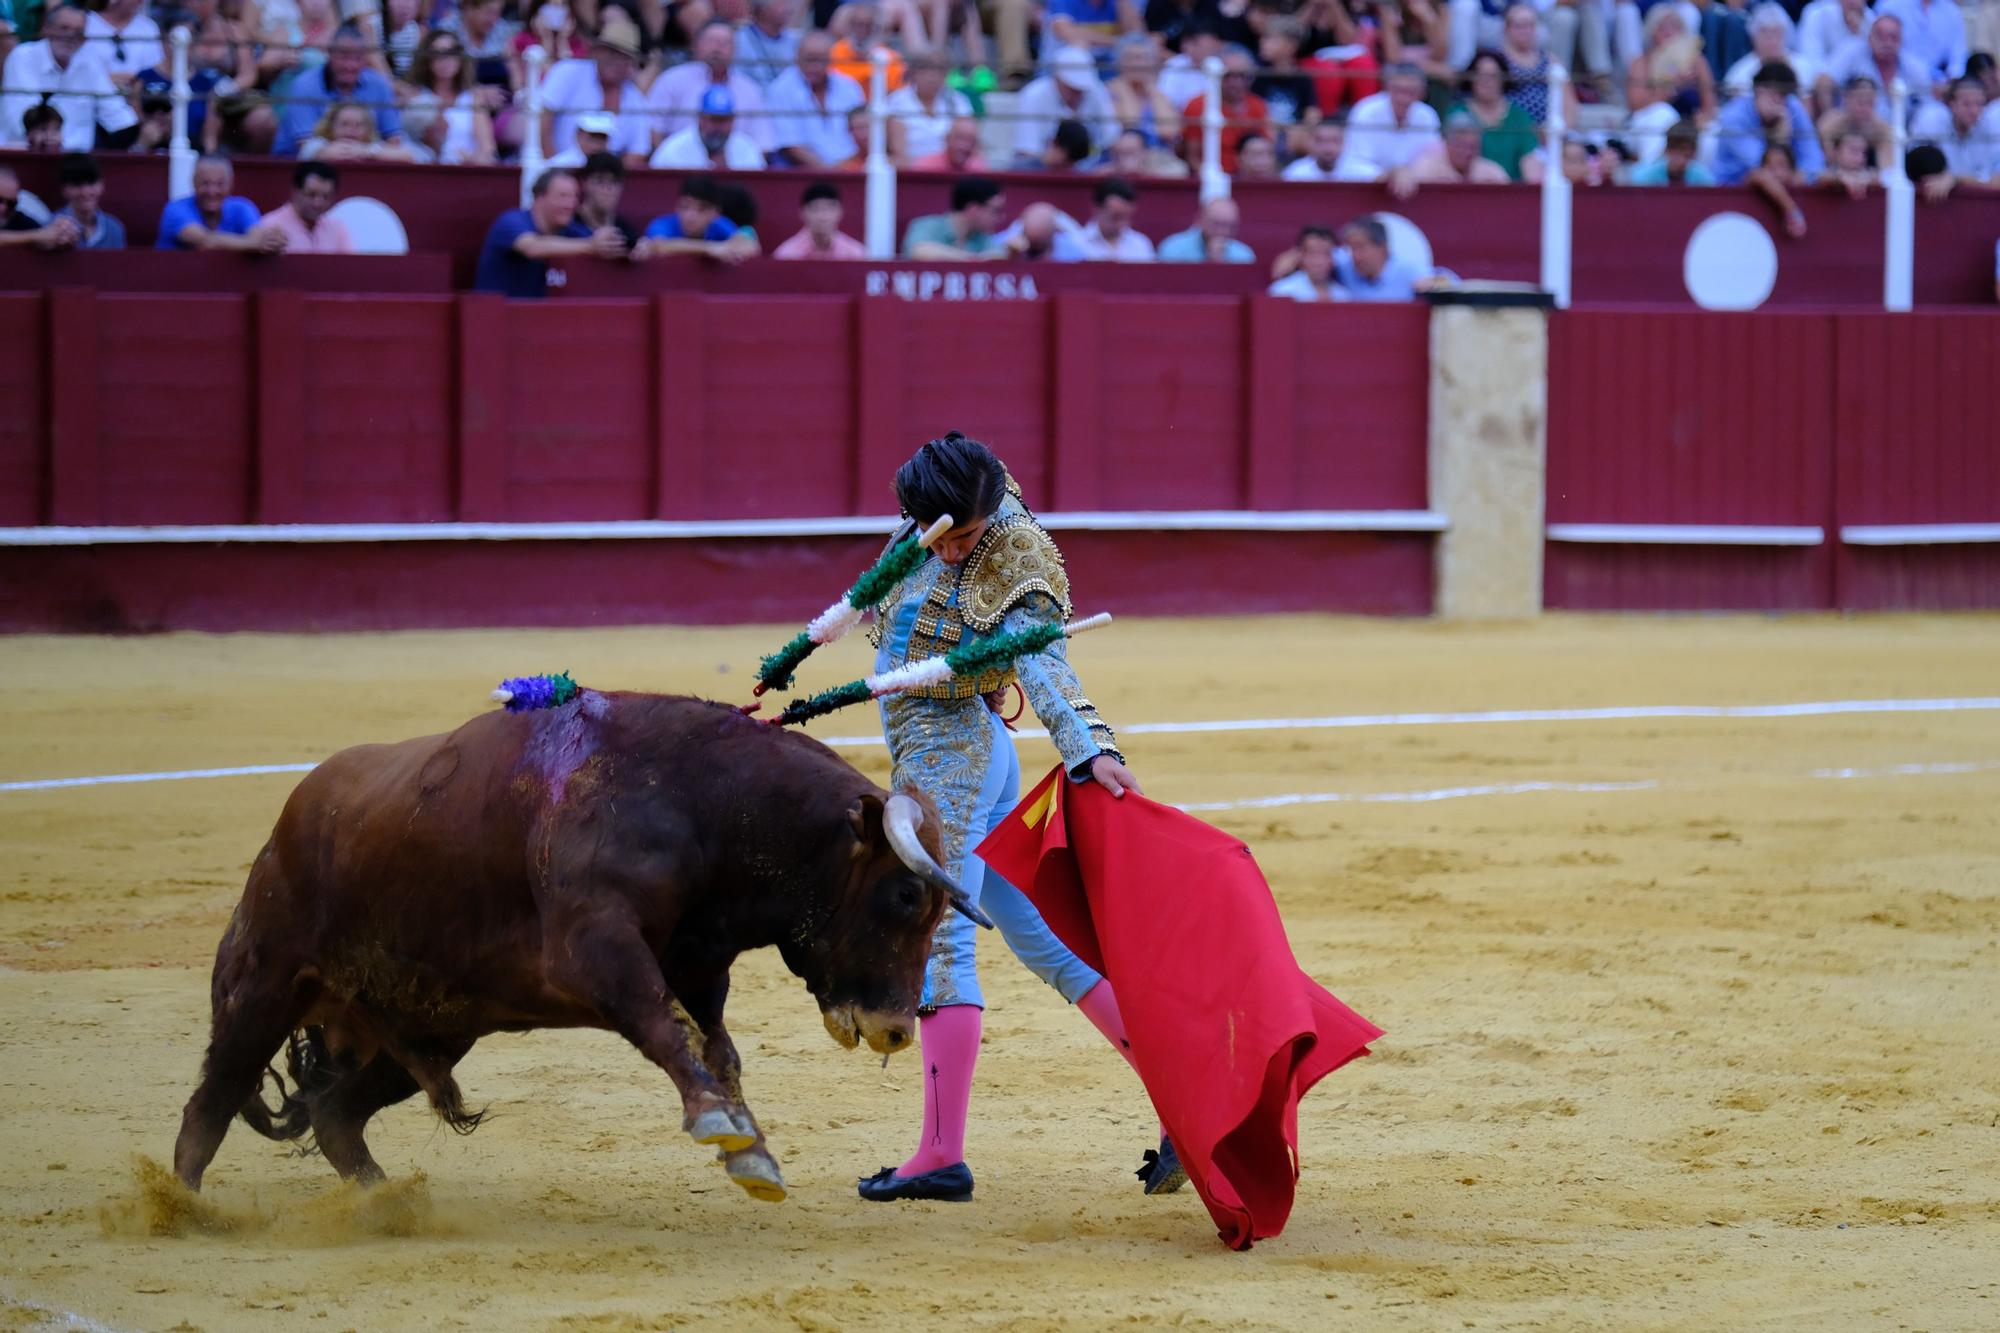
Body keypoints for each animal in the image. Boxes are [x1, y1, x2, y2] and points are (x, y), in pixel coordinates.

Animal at [170, 688, 984, 1200]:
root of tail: (293, 818)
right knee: (211, 1102)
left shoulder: (699, 965)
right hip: (266, 980)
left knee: (337, 1115)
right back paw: (181, 1208)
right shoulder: (593, 948)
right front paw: (723, 1127)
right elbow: (665, 1024)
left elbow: (716, 1046)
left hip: (432, 1022)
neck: (700, 803)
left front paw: (748, 1146)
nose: (897, 1028)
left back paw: (380, 1205)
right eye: (905, 895)